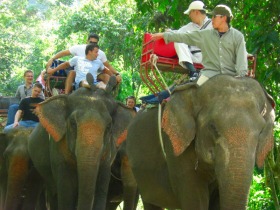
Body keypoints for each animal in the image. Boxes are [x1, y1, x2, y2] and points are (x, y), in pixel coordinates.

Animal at [28, 81, 137, 210]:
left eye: (109, 126)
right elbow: (66, 190)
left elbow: (101, 185)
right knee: (52, 193)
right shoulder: (57, 147)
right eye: (73, 124)